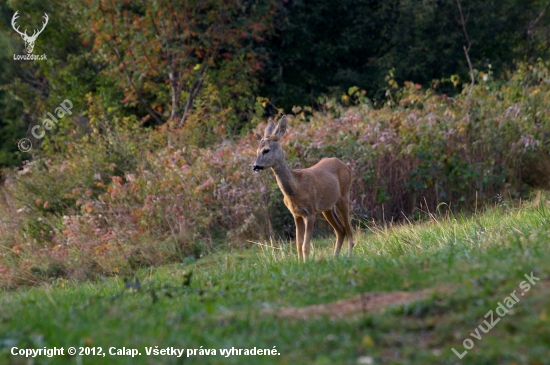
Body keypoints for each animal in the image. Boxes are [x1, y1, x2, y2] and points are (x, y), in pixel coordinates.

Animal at [256, 115, 358, 260]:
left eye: (266, 150)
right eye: (257, 151)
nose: (256, 166)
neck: (296, 189)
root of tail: (346, 166)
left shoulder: (310, 211)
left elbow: (305, 245)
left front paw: (306, 262)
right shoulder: (296, 214)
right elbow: (298, 245)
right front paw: (300, 263)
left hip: (344, 196)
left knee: (349, 230)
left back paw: (349, 256)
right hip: (327, 208)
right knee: (341, 230)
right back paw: (335, 257)